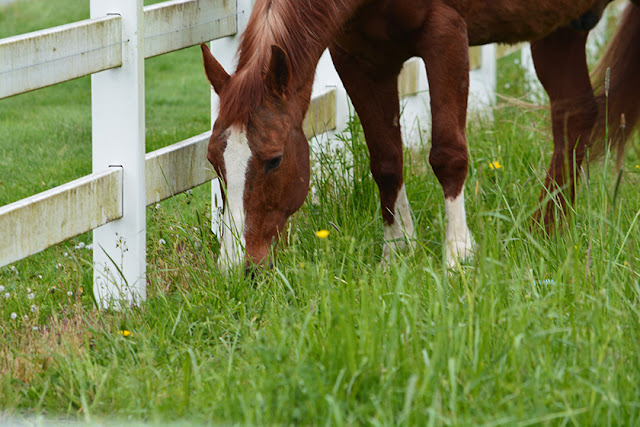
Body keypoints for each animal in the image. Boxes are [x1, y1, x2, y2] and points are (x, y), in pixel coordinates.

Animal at [200, 0, 640, 270]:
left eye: (274, 159)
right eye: (213, 162)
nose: (237, 268)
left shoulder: (445, 35)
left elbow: (448, 155)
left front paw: (457, 255)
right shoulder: (358, 58)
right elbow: (385, 160)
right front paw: (396, 251)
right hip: (560, 27)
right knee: (575, 117)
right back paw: (545, 230)